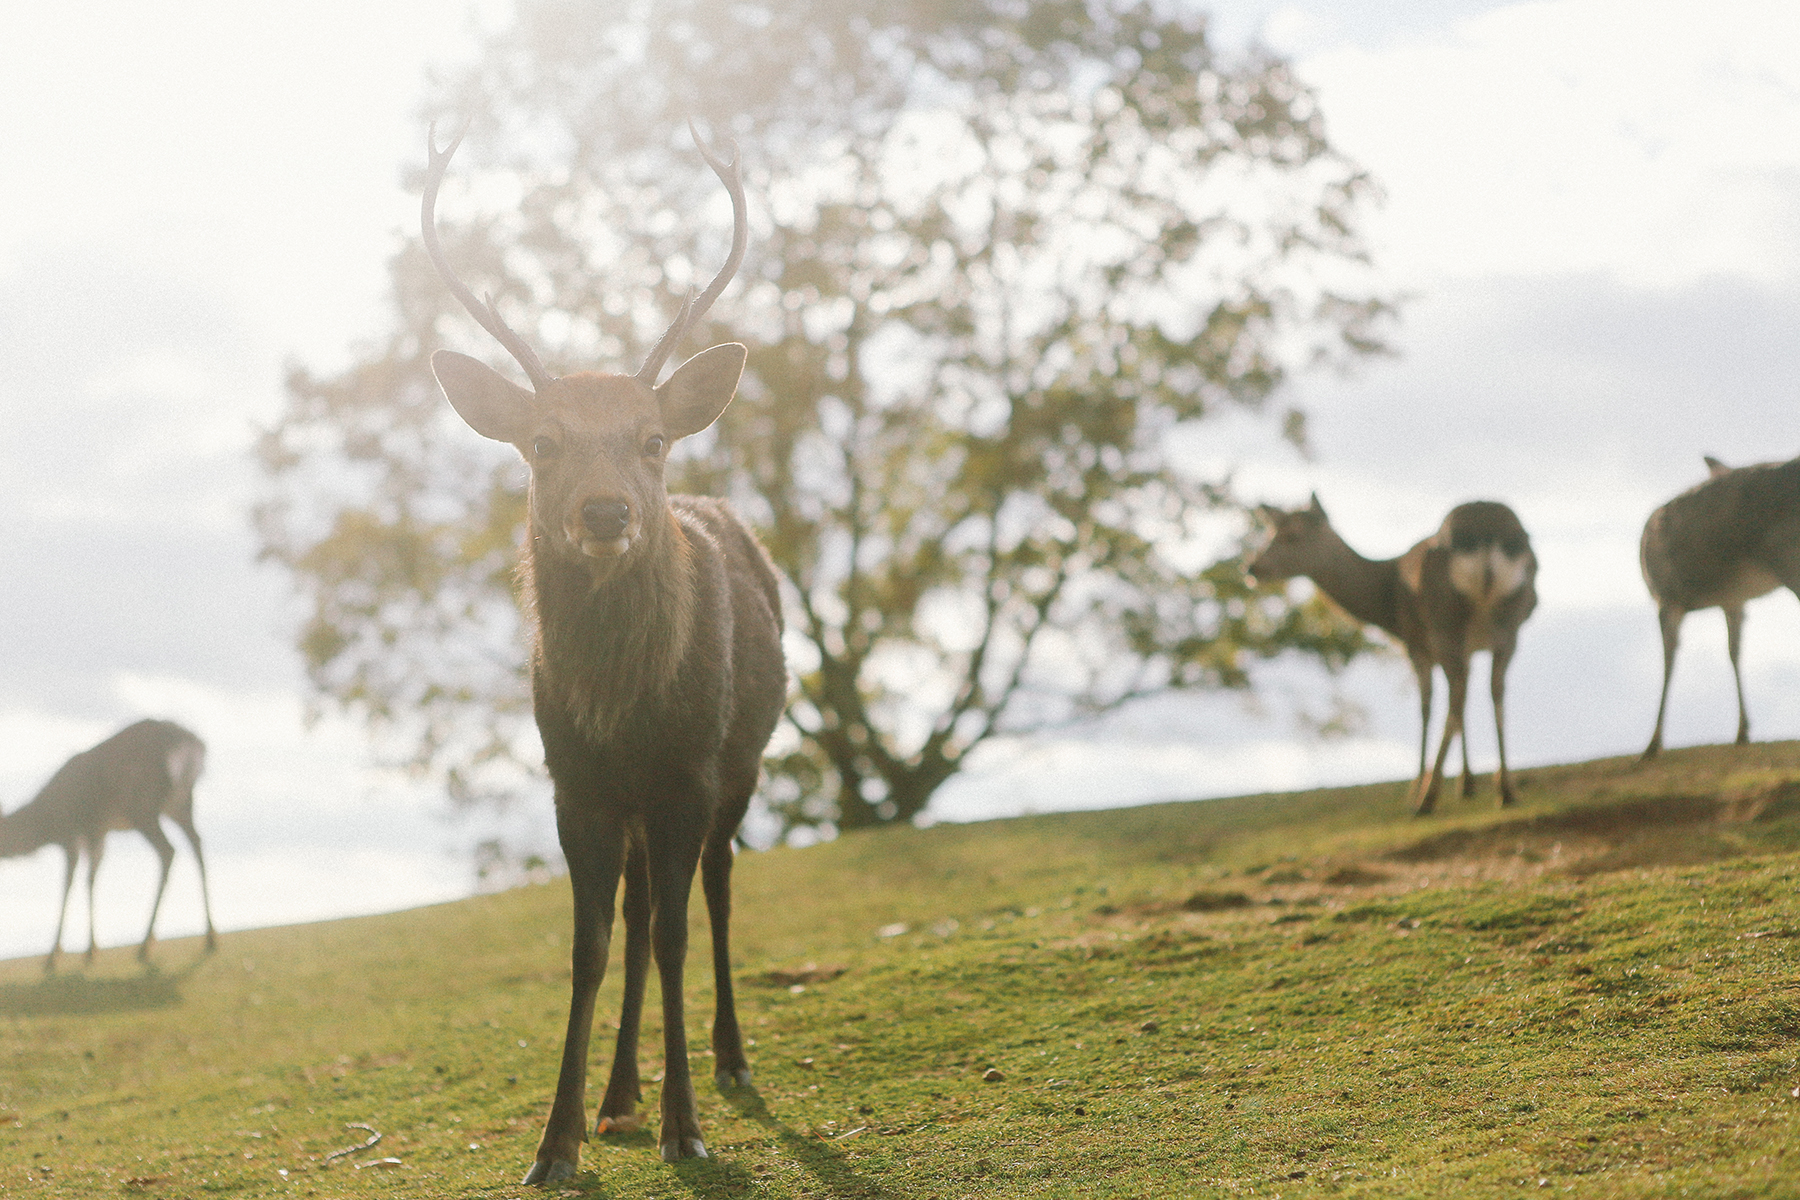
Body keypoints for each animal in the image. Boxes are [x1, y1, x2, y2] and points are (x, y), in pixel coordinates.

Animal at [0, 719, 218, 971]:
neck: (46, 822)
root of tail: (193, 745)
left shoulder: (75, 833)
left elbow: (71, 884)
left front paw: (58, 956)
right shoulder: (99, 832)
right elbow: (91, 881)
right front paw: (90, 950)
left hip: (141, 805)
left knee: (168, 850)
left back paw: (145, 945)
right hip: (180, 803)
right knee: (197, 843)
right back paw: (210, 937)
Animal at [424, 124, 792, 1180]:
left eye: (653, 437)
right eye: (542, 442)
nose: (604, 512)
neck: (624, 710)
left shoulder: (688, 772)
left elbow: (674, 933)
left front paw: (687, 1128)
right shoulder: (576, 782)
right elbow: (589, 946)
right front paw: (556, 1142)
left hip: (743, 764)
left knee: (713, 891)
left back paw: (728, 1062)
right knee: (631, 919)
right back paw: (619, 1096)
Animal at [1245, 496, 1540, 816]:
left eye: (1291, 536)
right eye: (1270, 531)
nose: (1252, 568)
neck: (1386, 605)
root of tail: (1487, 533)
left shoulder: (1414, 643)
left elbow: (1425, 707)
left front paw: (1417, 787)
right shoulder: (1469, 648)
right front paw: (1466, 785)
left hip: (1444, 620)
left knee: (1456, 695)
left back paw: (1426, 798)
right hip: (1510, 624)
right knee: (1494, 689)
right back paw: (1505, 789)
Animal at [1641, 455, 1792, 755]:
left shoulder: (1667, 596)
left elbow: (1668, 660)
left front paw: (1653, 744)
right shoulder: (1731, 600)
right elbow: (1734, 651)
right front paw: (1743, 731)